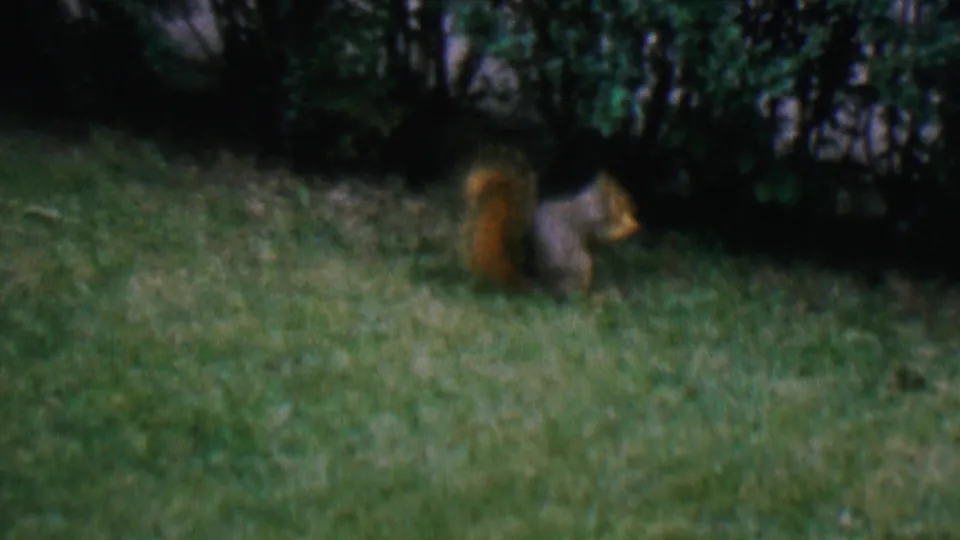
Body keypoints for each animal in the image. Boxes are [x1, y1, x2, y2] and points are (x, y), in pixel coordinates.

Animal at [460, 144, 641, 298]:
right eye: (620, 196)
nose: (634, 206)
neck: (595, 202)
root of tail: (543, 286)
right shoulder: (590, 220)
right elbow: (603, 234)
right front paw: (629, 228)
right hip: (581, 266)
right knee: (573, 295)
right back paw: (595, 298)